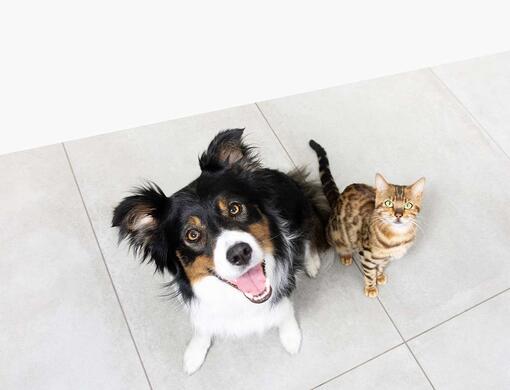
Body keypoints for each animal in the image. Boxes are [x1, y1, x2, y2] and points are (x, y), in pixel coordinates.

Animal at [111, 129, 328, 374]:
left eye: (234, 208)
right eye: (192, 235)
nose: (240, 253)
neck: (238, 299)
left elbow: (284, 310)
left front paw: (291, 336)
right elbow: (202, 326)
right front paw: (194, 353)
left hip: (302, 207)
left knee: (311, 231)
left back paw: (311, 262)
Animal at [308, 139, 424, 298]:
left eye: (408, 205)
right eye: (388, 203)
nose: (398, 215)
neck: (396, 237)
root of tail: (338, 198)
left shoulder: (386, 257)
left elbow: (381, 266)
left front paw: (380, 276)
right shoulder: (367, 254)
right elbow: (369, 273)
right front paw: (371, 288)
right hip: (336, 234)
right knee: (339, 245)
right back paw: (345, 255)